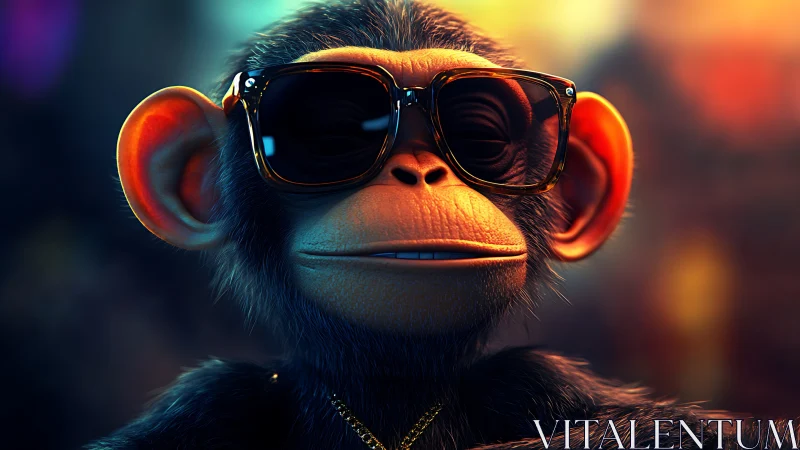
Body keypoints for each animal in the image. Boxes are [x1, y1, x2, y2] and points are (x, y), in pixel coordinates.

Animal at [87, 1, 796, 449]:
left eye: (478, 134)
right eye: (332, 131)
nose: (420, 172)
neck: (391, 395)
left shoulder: (545, 388)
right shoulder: (210, 404)